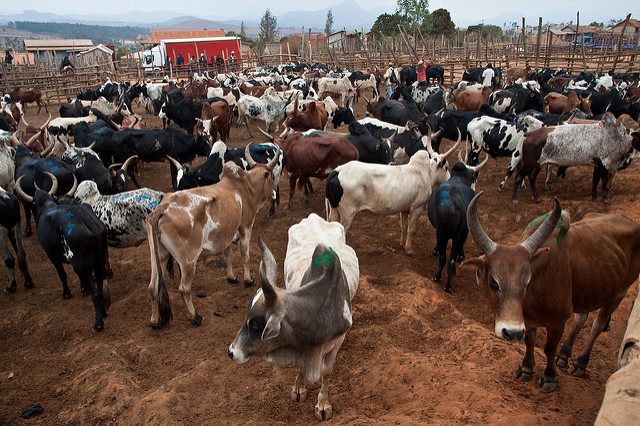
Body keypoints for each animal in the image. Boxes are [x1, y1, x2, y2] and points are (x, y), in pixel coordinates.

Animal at [149, 145, 284, 328]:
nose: (275, 194)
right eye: (270, 176)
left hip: (159, 256)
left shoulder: (226, 235)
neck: (246, 187)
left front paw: (232, 277)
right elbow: (245, 256)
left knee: (153, 286)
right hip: (188, 261)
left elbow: (228, 256)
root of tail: (162, 208)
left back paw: (155, 320)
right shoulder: (245, 228)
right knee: (184, 288)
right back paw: (195, 316)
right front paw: (248, 280)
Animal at [462, 193, 640, 392]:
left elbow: (549, 348)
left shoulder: (558, 321)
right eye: (493, 282)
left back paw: (580, 363)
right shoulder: (527, 320)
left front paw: (549, 377)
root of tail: (629, 219)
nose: (512, 333)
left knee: (598, 324)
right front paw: (526, 368)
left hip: (620, 293)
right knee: (581, 318)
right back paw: (564, 354)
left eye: (528, 282)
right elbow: (530, 341)